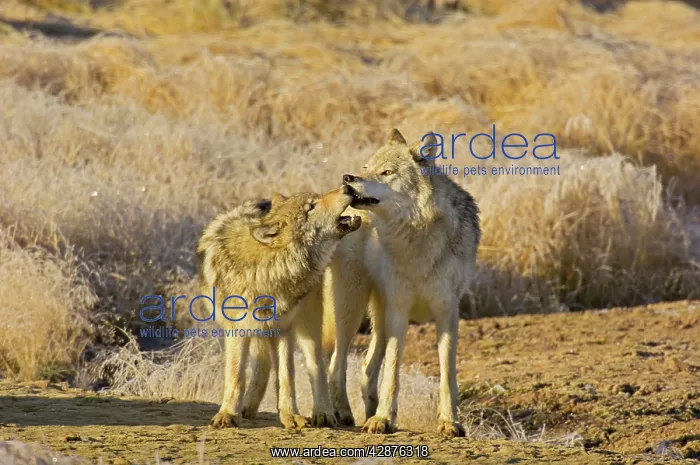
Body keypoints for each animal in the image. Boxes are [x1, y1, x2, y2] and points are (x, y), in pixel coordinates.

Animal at [197, 186, 361, 430]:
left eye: (316, 199)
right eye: (311, 207)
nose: (347, 186)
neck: (269, 268)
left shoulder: (283, 329)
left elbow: (287, 375)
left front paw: (290, 415)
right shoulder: (238, 329)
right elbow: (236, 374)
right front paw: (228, 414)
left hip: (307, 324)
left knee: (317, 365)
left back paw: (323, 413)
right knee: (262, 363)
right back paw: (248, 408)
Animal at [326, 128, 480, 437]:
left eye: (387, 172)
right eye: (366, 168)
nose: (348, 179)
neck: (415, 237)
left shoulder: (447, 311)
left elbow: (447, 375)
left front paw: (449, 422)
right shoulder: (399, 310)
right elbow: (393, 372)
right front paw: (384, 419)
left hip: (378, 317)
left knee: (365, 367)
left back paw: (365, 412)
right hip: (352, 309)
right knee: (338, 362)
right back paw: (343, 413)